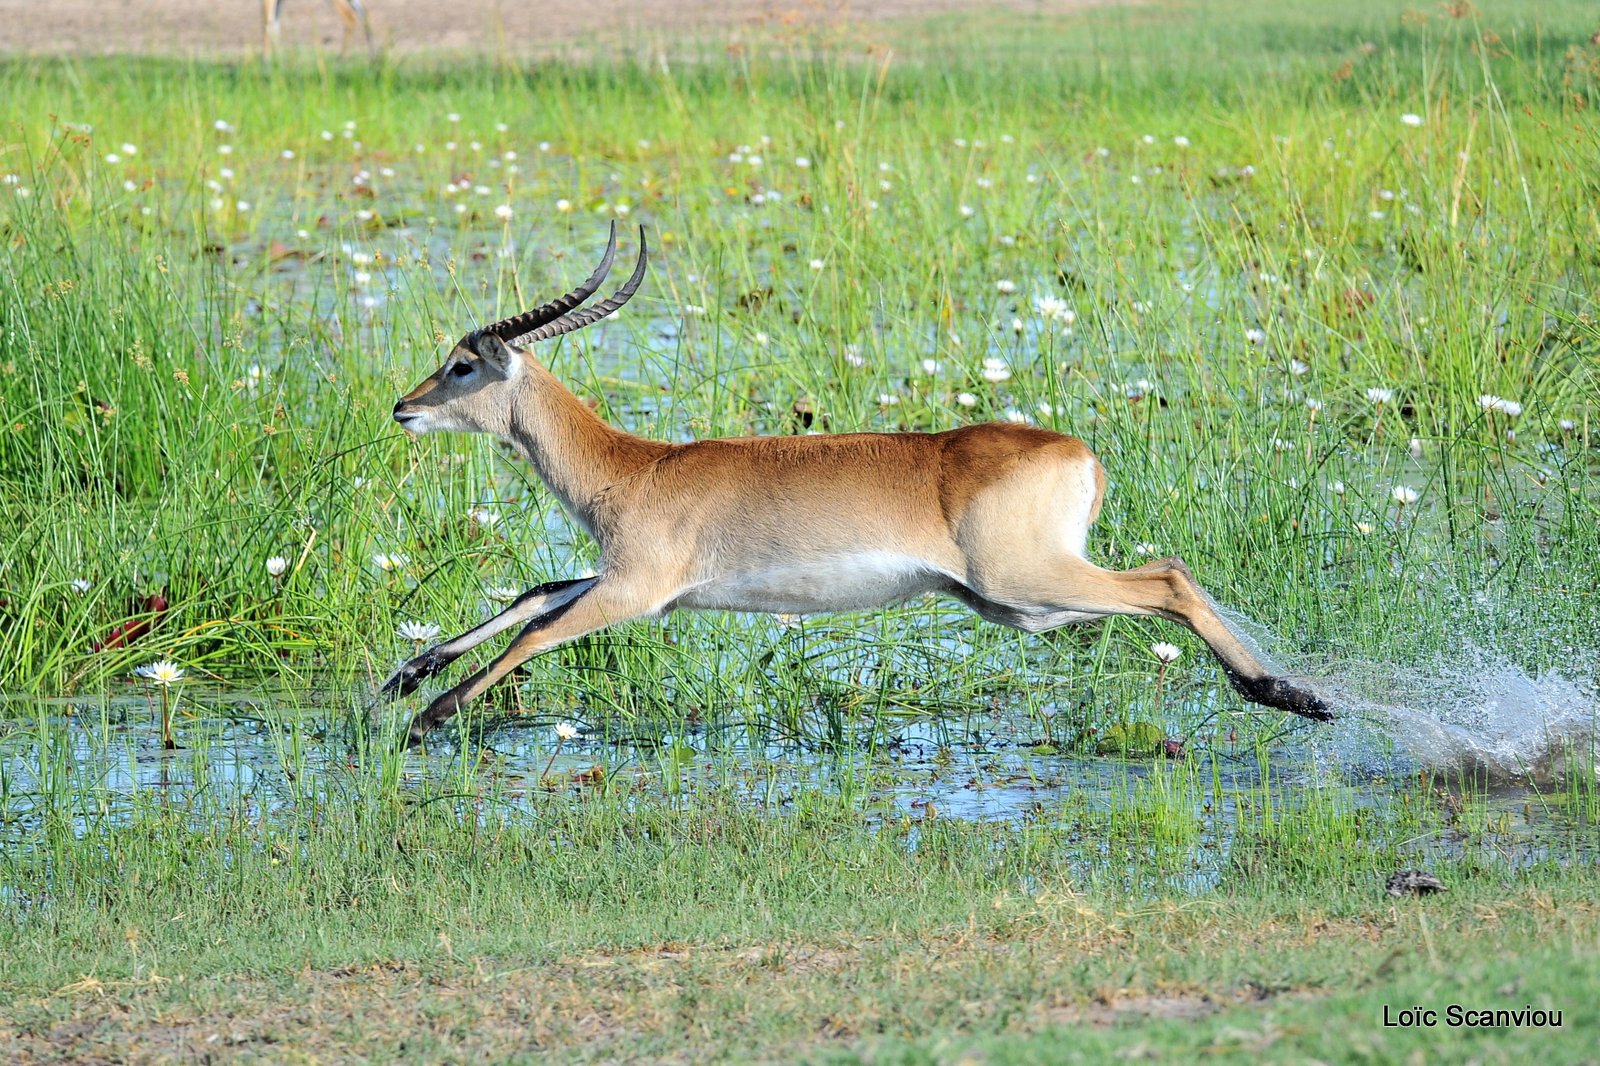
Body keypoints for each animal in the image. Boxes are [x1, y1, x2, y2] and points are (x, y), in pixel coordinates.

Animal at [380, 224, 1331, 739]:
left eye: (462, 364)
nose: (403, 408)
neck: (635, 469)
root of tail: (1077, 451)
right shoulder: (628, 579)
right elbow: (533, 592)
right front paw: (406, 676)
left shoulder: (637, 591)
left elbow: (537, 631)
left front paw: (426, 720)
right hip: (1020, 604)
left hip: (1023, 583)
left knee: (1169, 580)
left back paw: (1291, 695)